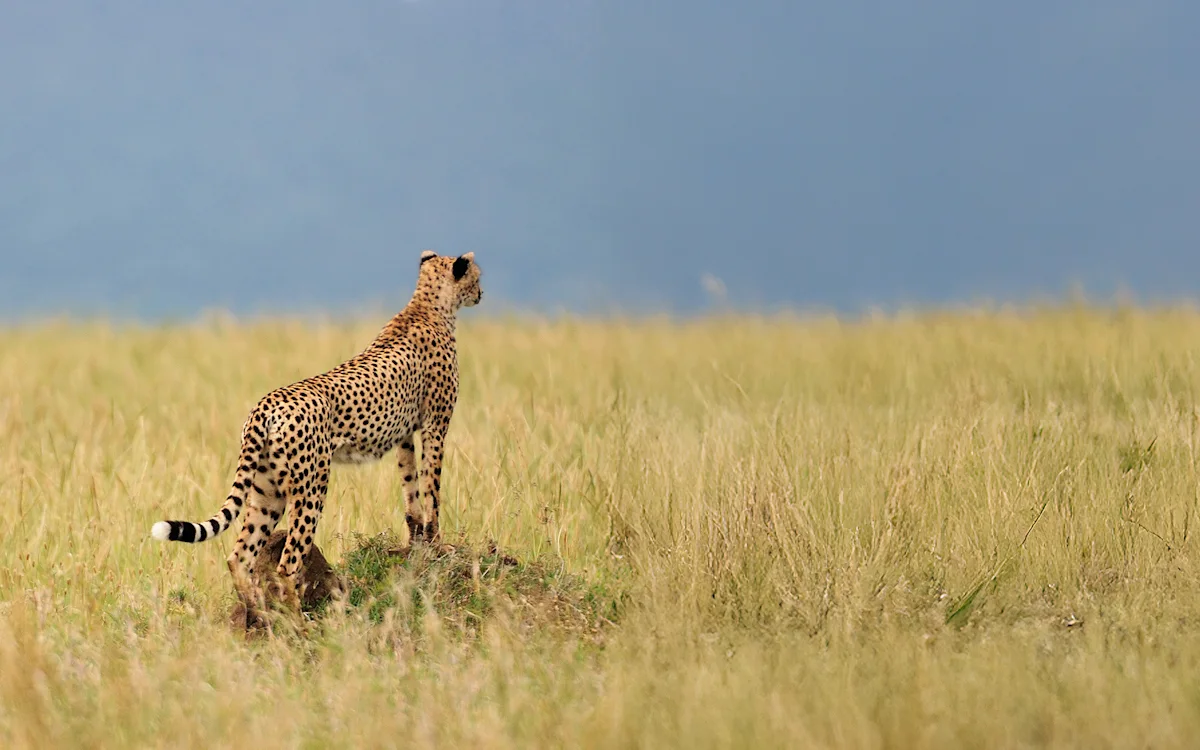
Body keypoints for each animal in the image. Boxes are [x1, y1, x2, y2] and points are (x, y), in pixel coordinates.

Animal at [150, 249, 482, 612]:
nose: (481, 294)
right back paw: (296, 615)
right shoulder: (435, 424)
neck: (427, 304)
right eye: (477, 277)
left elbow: (411, 488)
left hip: (266, 489)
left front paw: (418, 540)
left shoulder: (405, 436)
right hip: (312, 485)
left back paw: (259, 611)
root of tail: (266, 403)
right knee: (289, 560)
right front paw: (438, 543)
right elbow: (432, 487)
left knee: (240, 554)